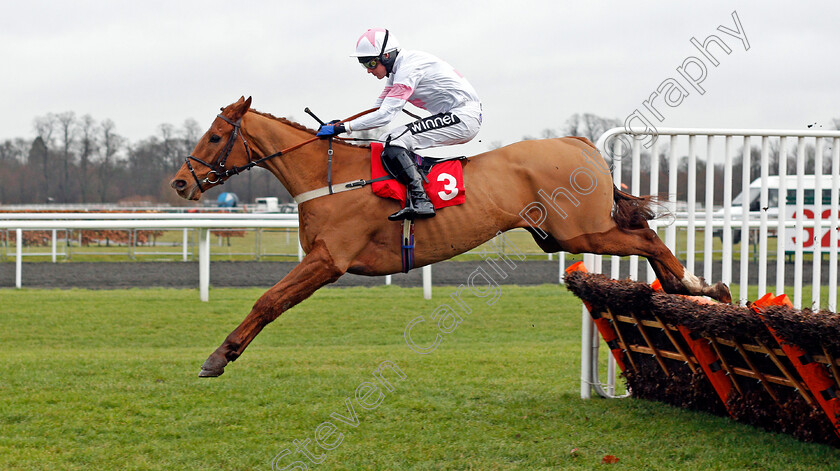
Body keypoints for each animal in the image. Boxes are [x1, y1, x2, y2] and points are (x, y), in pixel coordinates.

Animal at [169, 97, 728, 378]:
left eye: (215, 136)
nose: (180, 183)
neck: (330, 176)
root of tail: (579, 141)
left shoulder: (329, 260)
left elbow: (268, 301)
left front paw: (219, 356)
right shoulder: (325, 260)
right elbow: (270, 301)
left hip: (580, 229)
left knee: (648, 241)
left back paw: (700, 288)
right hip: (561, 234)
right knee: (644, 231)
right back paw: (691, 288)